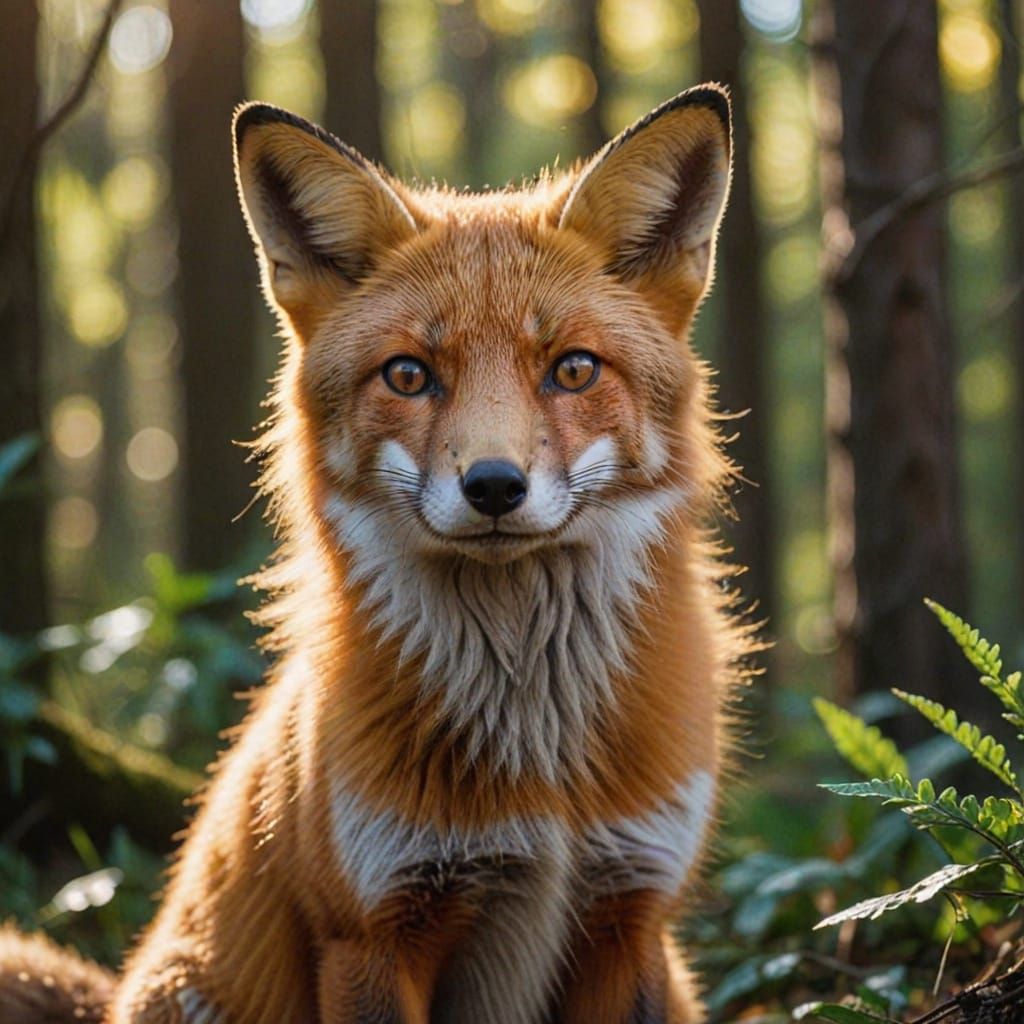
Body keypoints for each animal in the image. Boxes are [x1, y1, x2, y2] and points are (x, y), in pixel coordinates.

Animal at [1, 84, 755, 1023]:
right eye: (408, 376)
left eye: (574, 369)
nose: (494, 486)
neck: (535, 764)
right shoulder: (370, 932)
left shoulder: (631, 915)